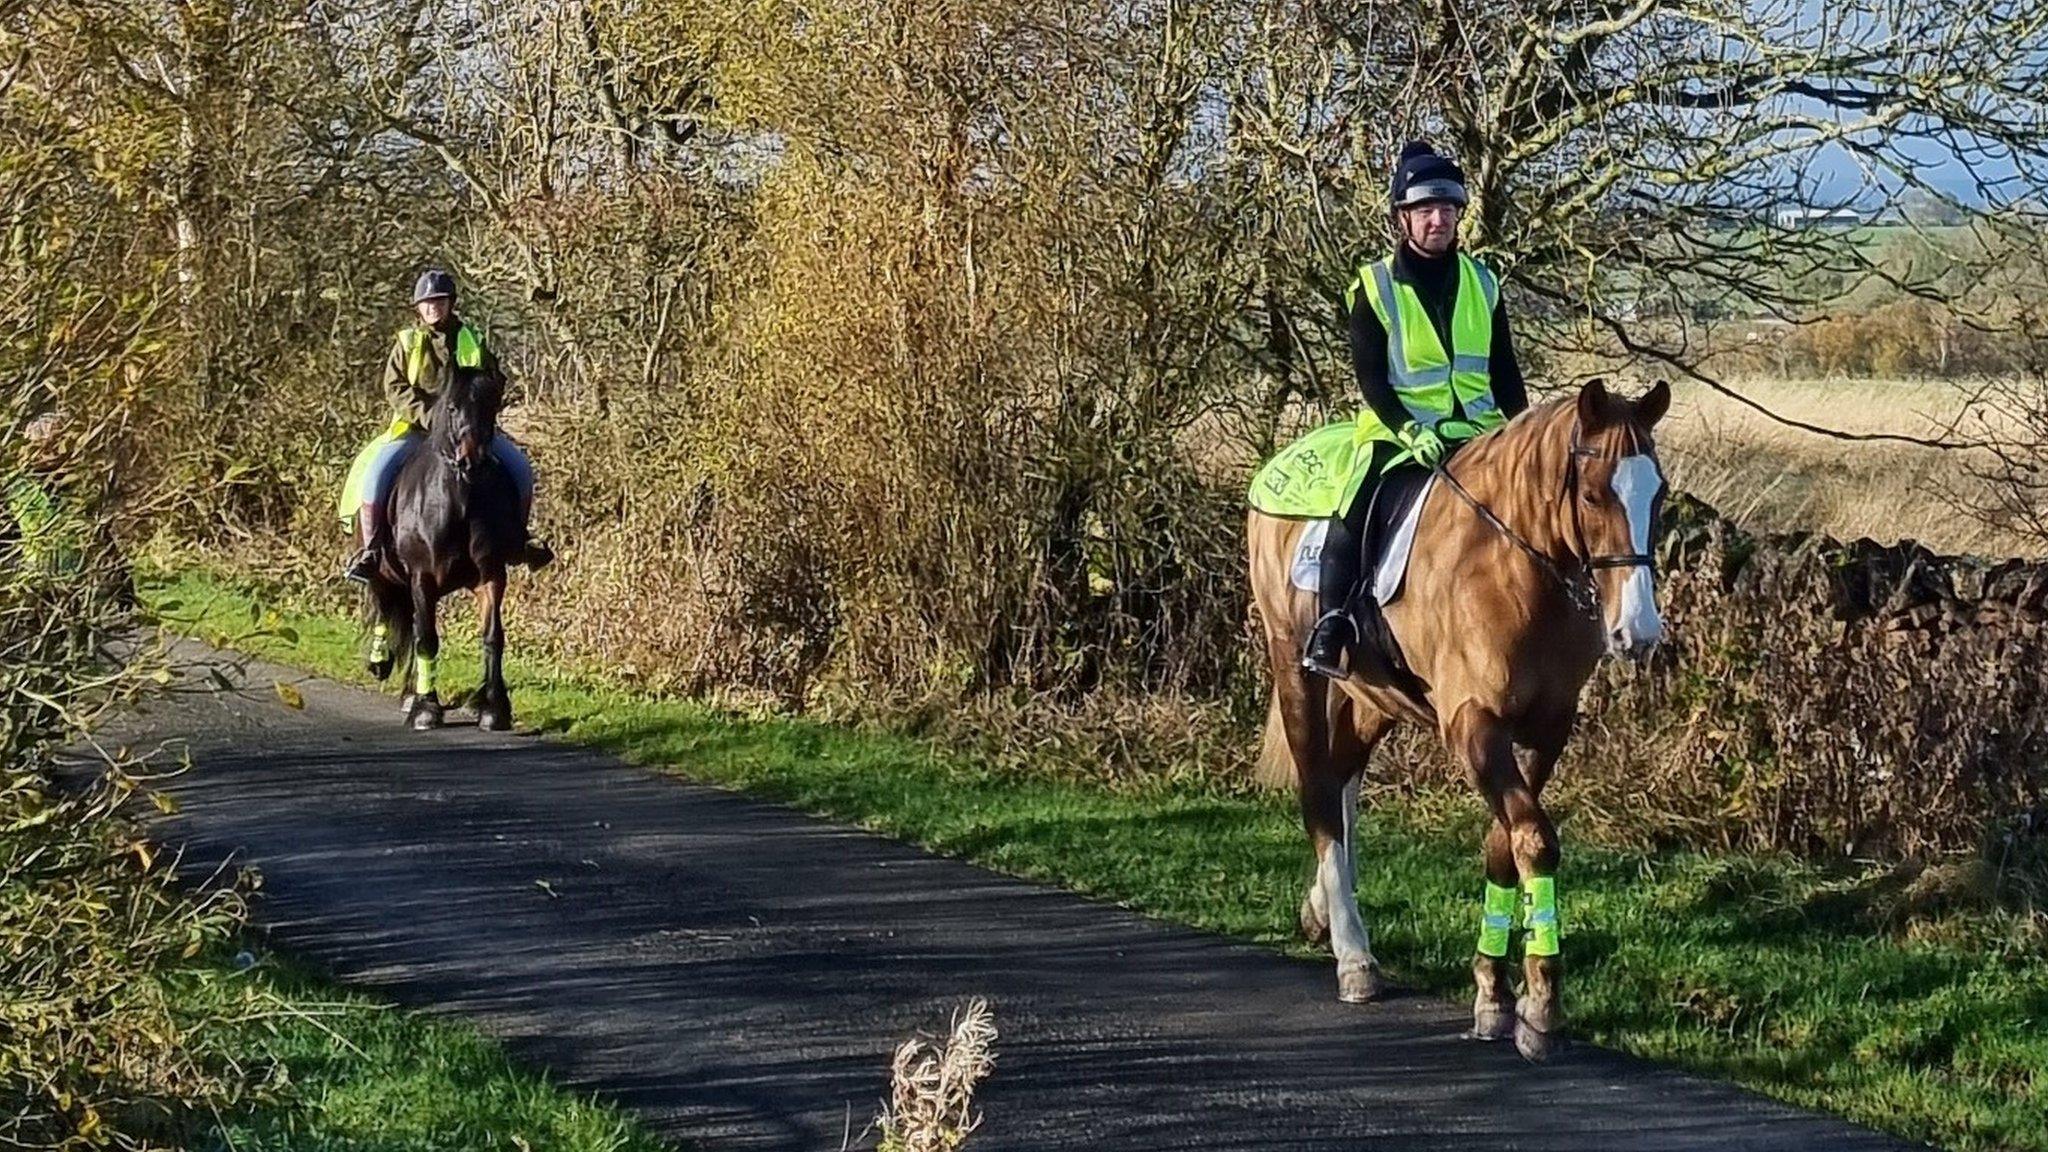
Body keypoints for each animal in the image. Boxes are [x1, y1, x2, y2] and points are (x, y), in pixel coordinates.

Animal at [366, 362, 532, 729]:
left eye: (491, 407)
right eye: (452, 407)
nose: (473, 461)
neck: (459, 503)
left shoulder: (491, 575)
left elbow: (493, 636)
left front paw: (494, 708)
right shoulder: (422, 577)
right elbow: (427, 639)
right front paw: (427, 708)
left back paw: (411, 692)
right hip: (384, 573)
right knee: (388, 609)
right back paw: (383, 666)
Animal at [1245, 377, 1662, 1057]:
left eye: (1661, 493)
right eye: (1594, 494)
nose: (1640, 632)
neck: (1515, 569)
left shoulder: (1544, 732)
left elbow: (1505, 843)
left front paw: (1495, 994)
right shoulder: (1473, 723)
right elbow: (1535, 841)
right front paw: (1540, 1005)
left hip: (1375, 694)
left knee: (1343, 777)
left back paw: (1323, 912)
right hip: (1294, 667)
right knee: (1319, 793)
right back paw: (1354, 956)